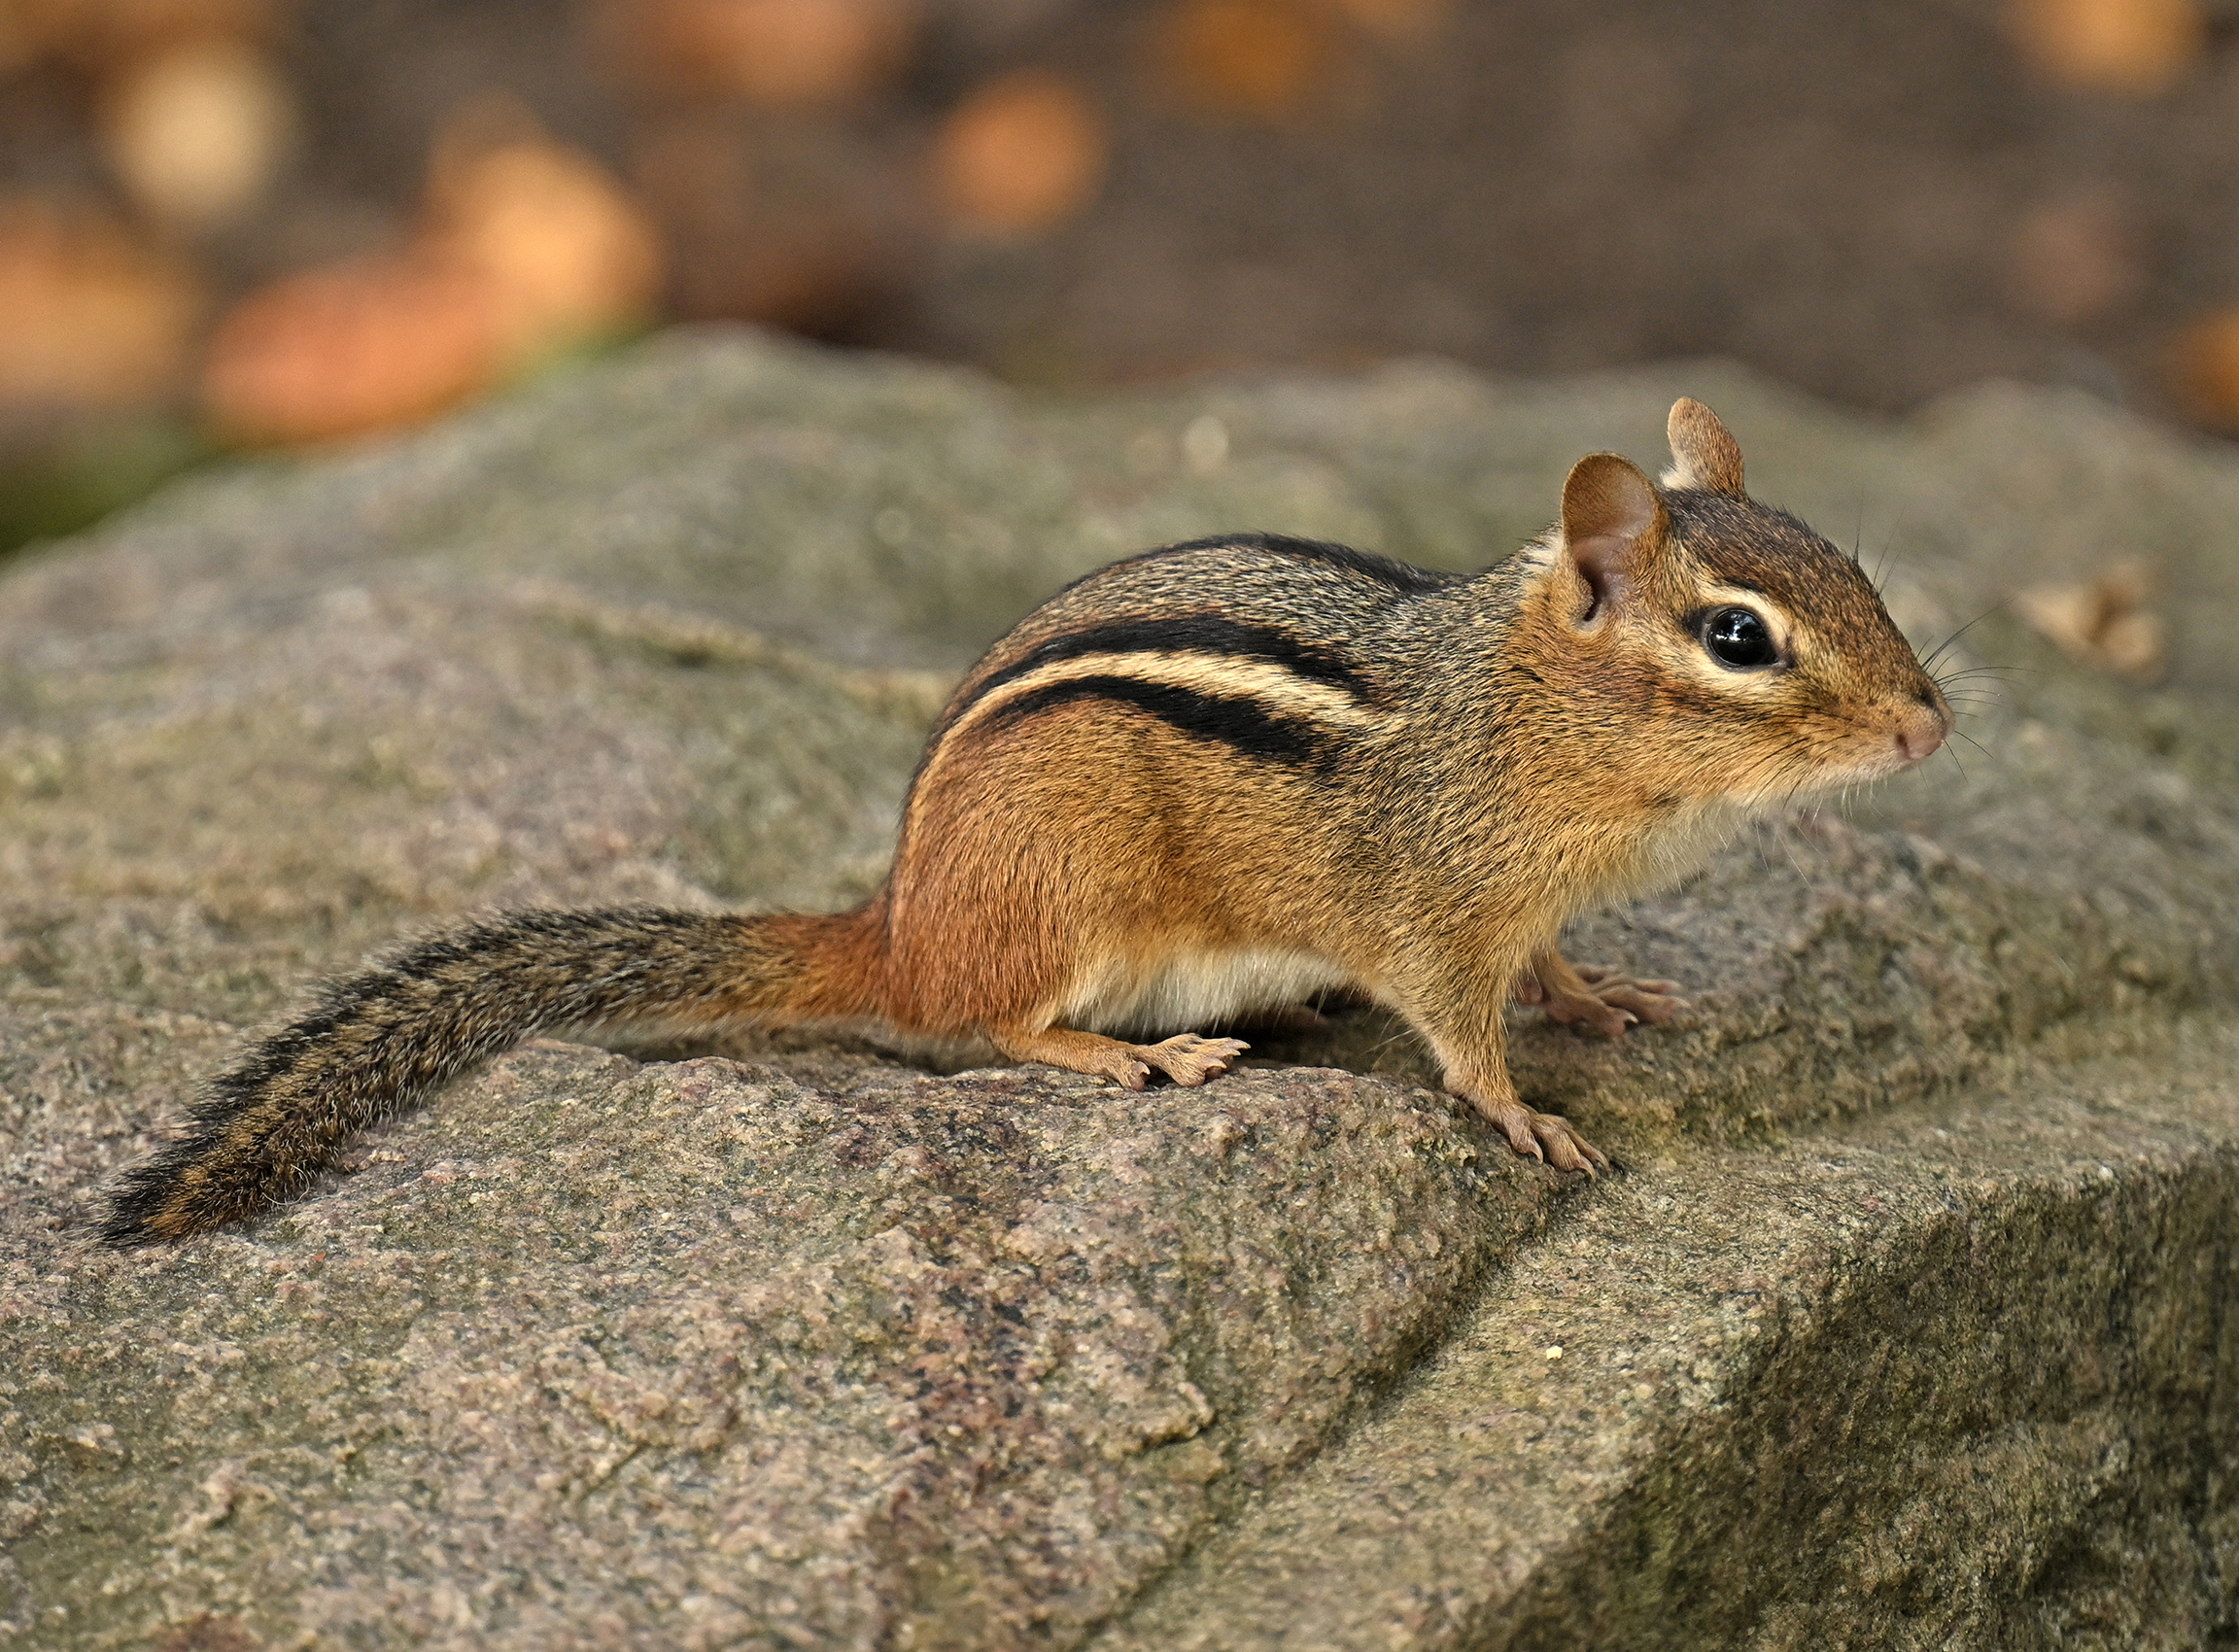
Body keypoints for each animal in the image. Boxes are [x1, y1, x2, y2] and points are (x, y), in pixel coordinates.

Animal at [102, 398, 1951, 1244]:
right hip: (1071, 895)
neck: (1524, 719)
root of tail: (896, 917)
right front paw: (1524, 1118)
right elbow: (1459, 1035)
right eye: (1738, 638)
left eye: (1853, 571)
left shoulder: (1529, 904)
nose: (1929, 723)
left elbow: (1549, 970)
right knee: (983, 1025)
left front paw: (1603, 995)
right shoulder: (1428, 914)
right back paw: (1142, 1056)